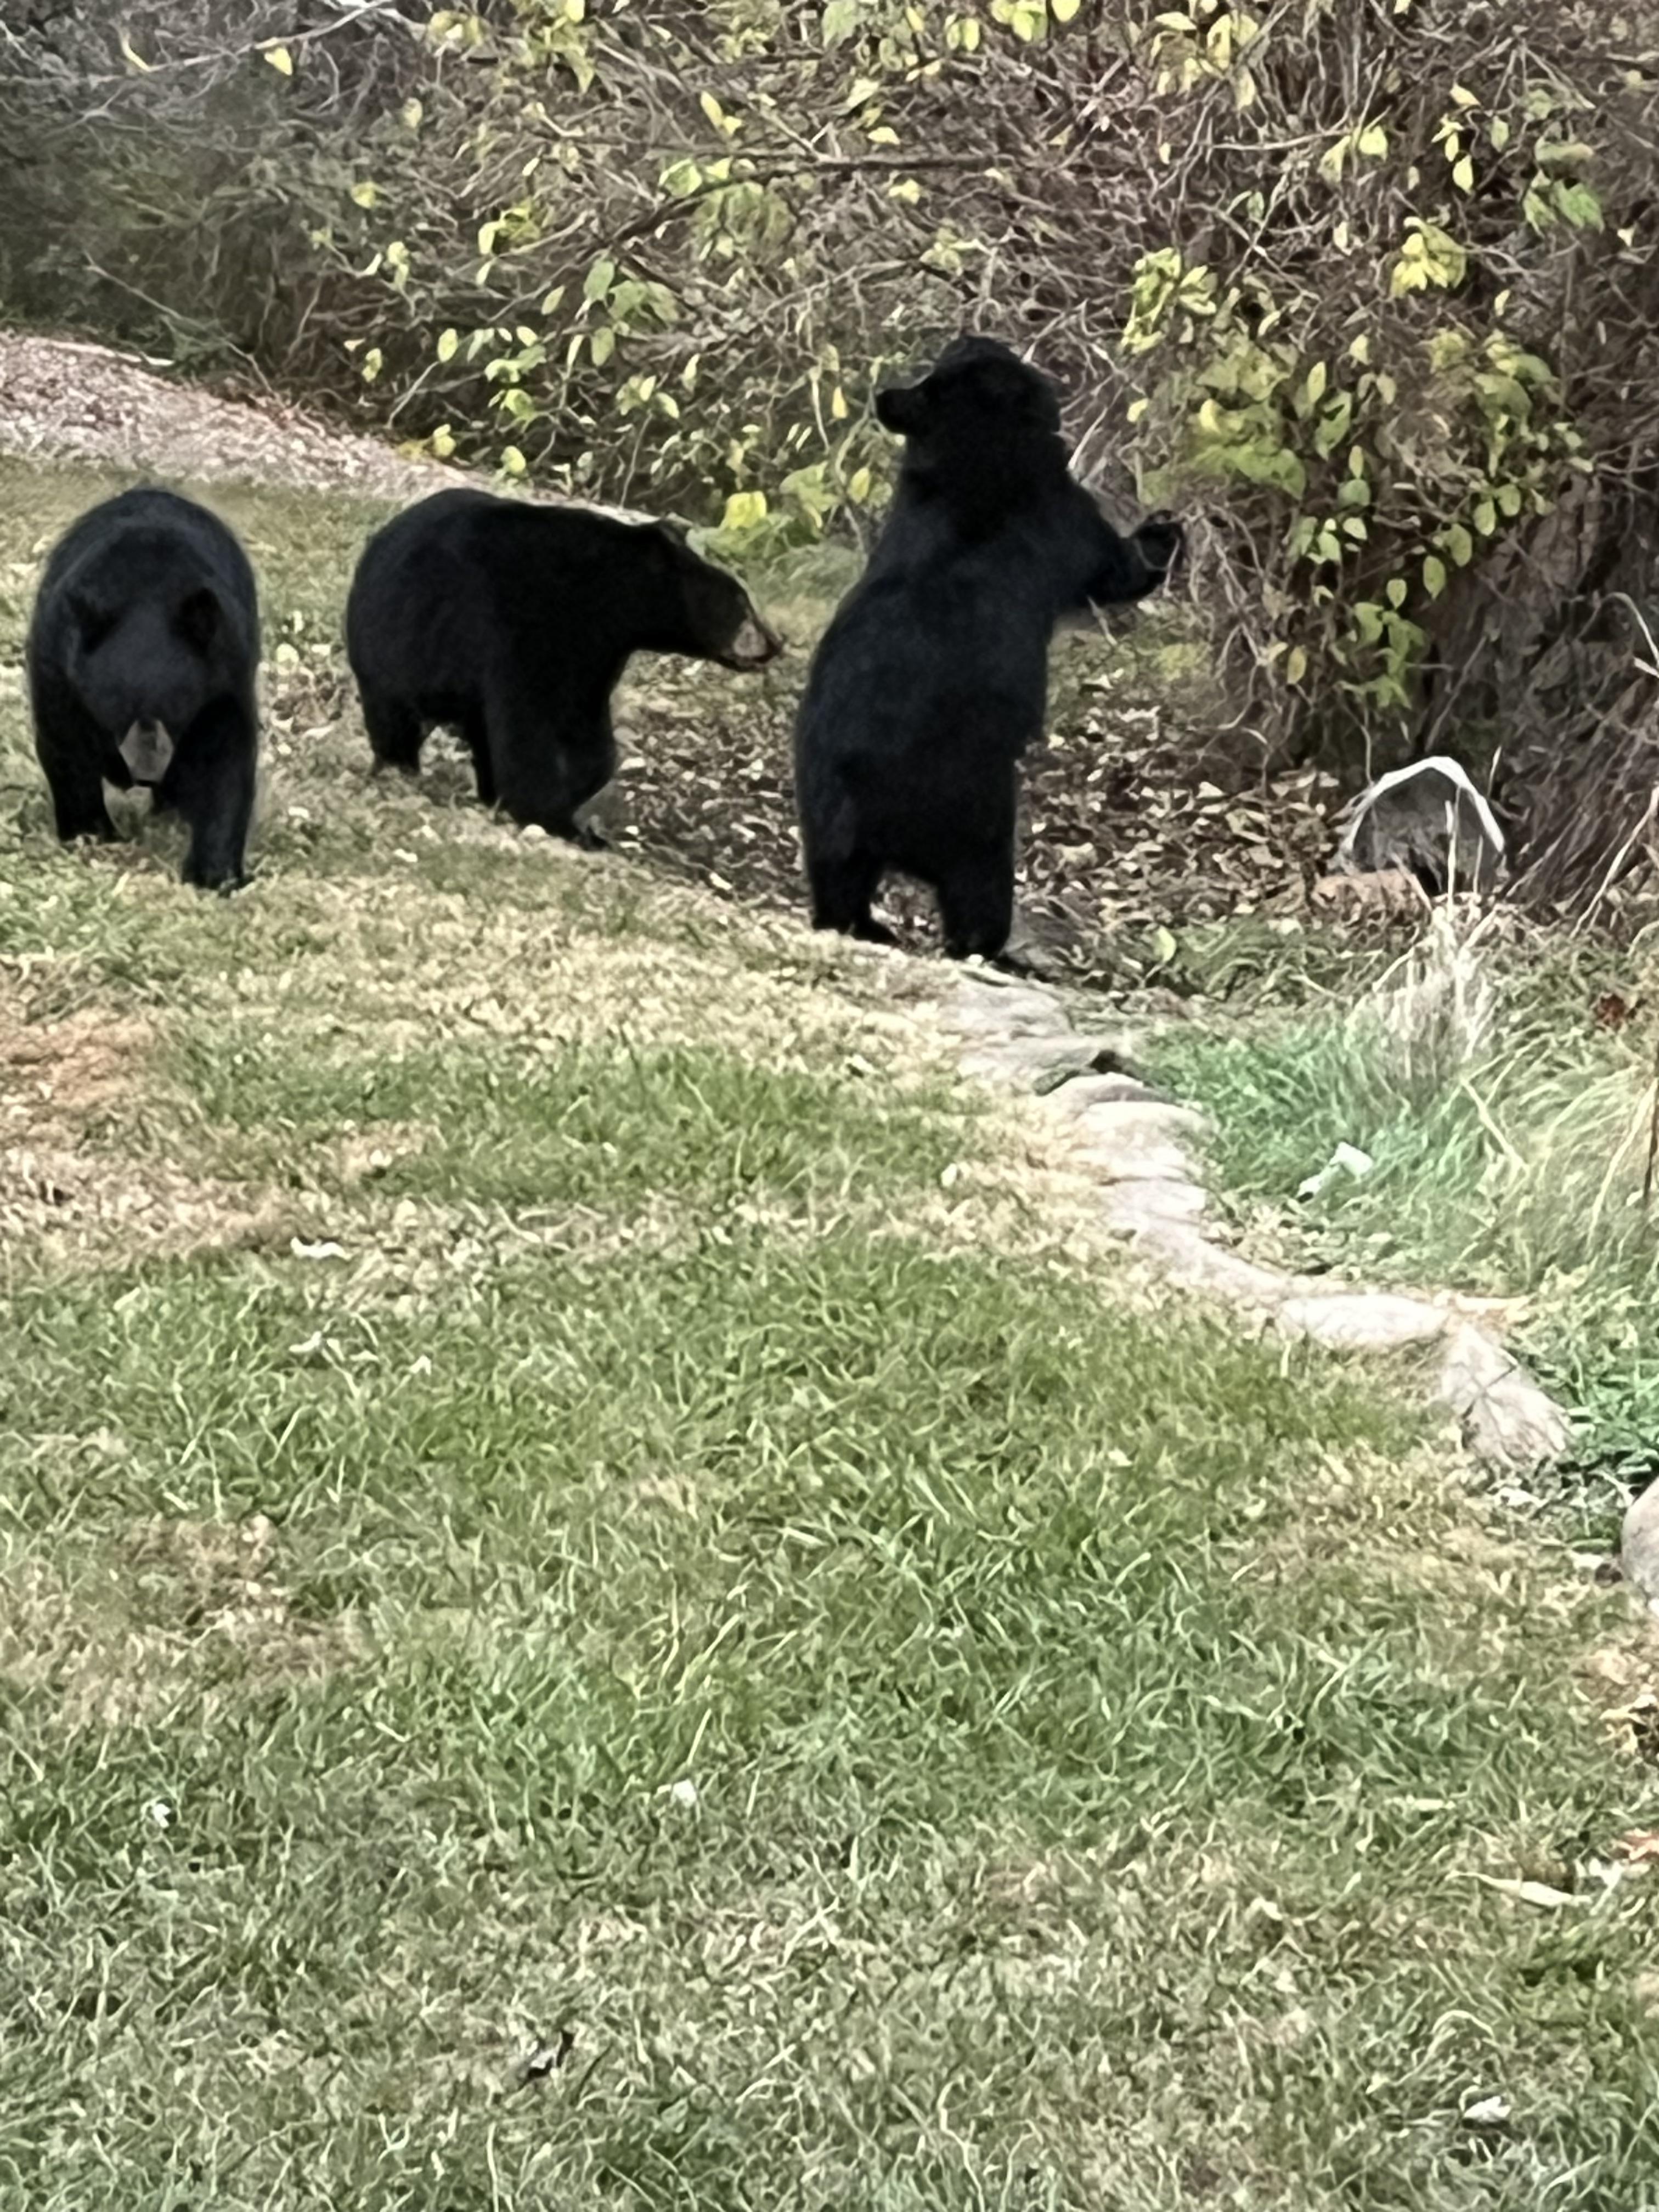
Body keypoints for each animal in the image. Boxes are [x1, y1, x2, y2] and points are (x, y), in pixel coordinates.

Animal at [27, 487, 262, 891]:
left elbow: (226, 759)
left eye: (177, 704)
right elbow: (66, 746)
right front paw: (92, 835)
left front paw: (216, 874)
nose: (146, 773)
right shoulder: (57, 666)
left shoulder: (224, 675)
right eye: (117, 706)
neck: (147, 597)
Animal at [344, 489, 783, 842]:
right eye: (743, 604)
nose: (775, 644)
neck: (613, 593)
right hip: (392, 651)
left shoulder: (596, 651)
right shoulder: (524, 628)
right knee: (397, 718)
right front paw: (553, 816)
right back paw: (400, 767)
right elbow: (531, 726)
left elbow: (583, 725)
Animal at [792, 334, 1183, 960]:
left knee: (838, 884)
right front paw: (1163, 534)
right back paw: (988, 948)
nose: (982, 337)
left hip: (823, 814)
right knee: (978, 894)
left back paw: (866, 924)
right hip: (976, 817)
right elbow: (1115, 570)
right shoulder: (1059, 513)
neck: (967, 455)